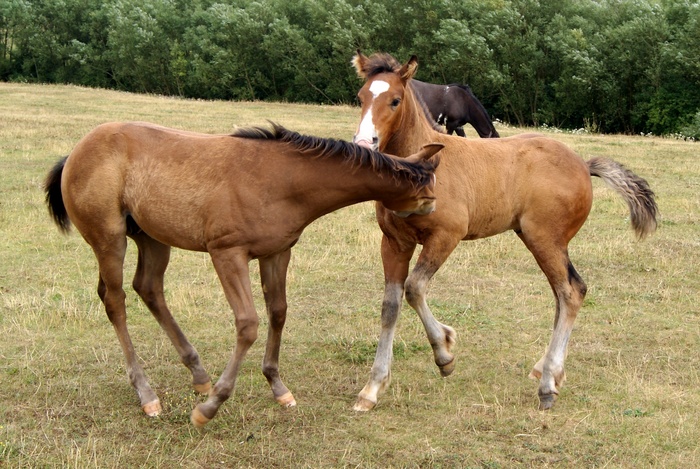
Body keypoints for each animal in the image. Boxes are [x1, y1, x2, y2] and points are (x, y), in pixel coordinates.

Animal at [43, 119, 440, 424]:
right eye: (427, 195)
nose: (436, 216)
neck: (284, 179)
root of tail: (76, 152)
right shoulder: (227, 254)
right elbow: (248, 323)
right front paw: (210, 407)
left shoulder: (277, 252)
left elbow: (278, 312)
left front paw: (278, 387)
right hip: (109, 239)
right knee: (115, 300)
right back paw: (147, 394)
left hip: (152, 238)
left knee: (149, 288)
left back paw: (198, 373)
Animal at [352, 50, 660, 410]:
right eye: (360, 97)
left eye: (395, 100)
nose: (364, 143)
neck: (424, 168)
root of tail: (584, 165)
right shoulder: (394, 241)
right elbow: (391, 306)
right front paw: (373, 387)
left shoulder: (447, 235)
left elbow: (414, 289)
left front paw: (445, 352)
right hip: (539, 239)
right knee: (568, 291)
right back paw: (547, 370)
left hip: (545, 239)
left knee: (570, 292)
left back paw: (547, 384)